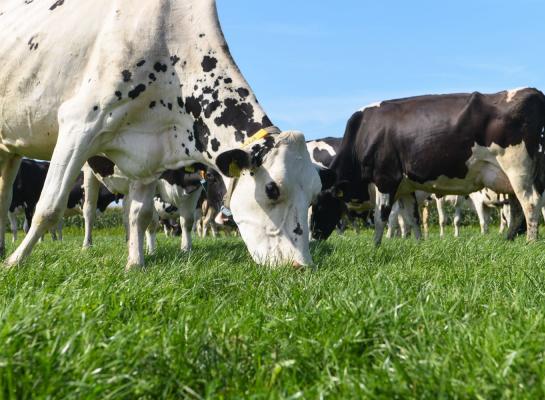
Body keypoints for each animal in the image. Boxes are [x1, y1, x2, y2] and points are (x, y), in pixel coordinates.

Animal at [0, 0, 320, 268]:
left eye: (315, 194)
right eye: (272, 190)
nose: (301, 266)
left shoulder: (149, 156)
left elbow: (140, 216)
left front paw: (135, 264)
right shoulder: (79, 123)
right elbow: (48, 207)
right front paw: (15, 262)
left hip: (10, 150)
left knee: (4, 195)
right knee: (87, 210)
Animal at [310, 88, 544, 244]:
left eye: (319, 205)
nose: (312, 237)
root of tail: (532, 92)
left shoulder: (386, 179)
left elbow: (381, 217)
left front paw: (375, 246)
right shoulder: (405, 188)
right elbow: (412, 218)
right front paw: (417, 244)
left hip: (518, 169)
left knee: (530, 203)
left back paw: (530, 242)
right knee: (517, 207)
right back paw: (510, 238)